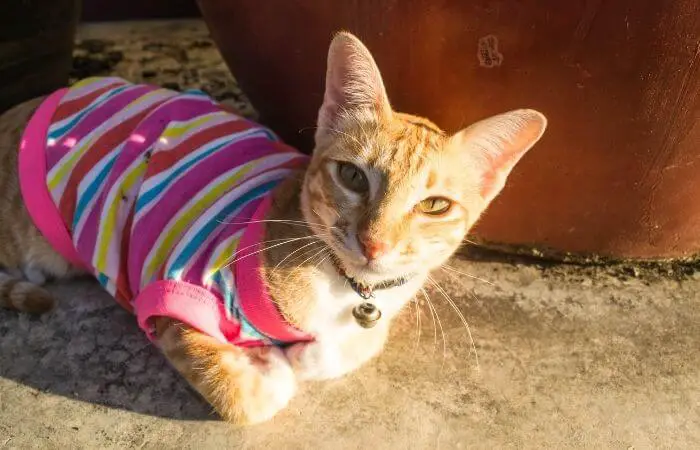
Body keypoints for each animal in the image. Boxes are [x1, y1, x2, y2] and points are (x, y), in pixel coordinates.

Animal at [0, 33, 548, 424]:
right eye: (352, 176)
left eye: (434, 205)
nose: (375, 243)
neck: (341, 284)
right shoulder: (168, 292)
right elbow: (245, 398)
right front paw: (272, 368)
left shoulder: (376, 317)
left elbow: (364, 342)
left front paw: (310, 355)